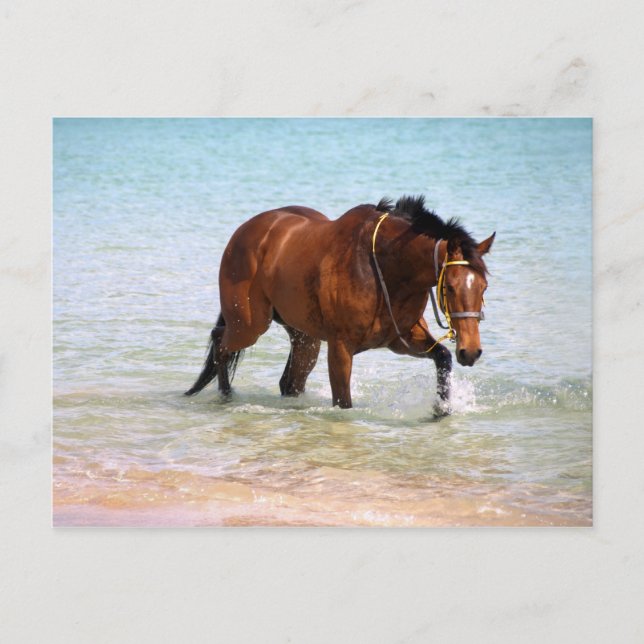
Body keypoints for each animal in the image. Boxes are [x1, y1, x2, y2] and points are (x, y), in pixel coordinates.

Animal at [186, 195, 494, 414]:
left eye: (483, 287)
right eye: (450, 287)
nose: (470, 351)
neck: (385, 267)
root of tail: (246, 230)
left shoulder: (400, 338)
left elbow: (442, 357)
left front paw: (441, 408)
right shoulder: (341, 347)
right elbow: (343, 402)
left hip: (305, 338)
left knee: (289, 382)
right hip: (248, 325)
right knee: (221, 343)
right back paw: (226, 397)